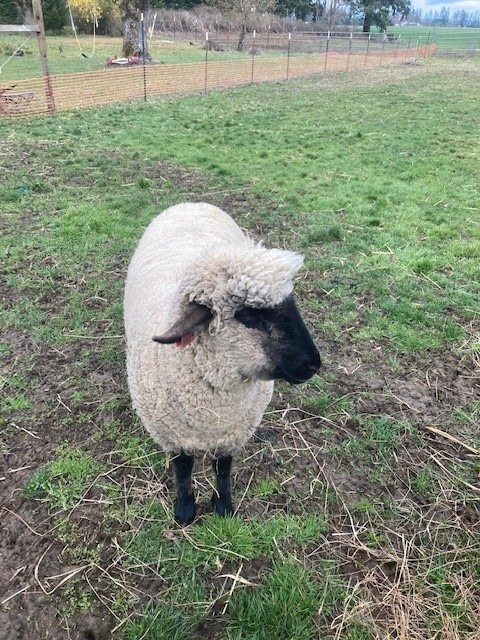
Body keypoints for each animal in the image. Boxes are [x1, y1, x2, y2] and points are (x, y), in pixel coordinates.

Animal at [124, 202, 321, 524]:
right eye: (248, 314)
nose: (313, 365)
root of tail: (191, 203)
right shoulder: (172, 435)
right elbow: (182, 470)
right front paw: (185, 510)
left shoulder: (233, 433)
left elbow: (223, 468)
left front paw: (223, 507)